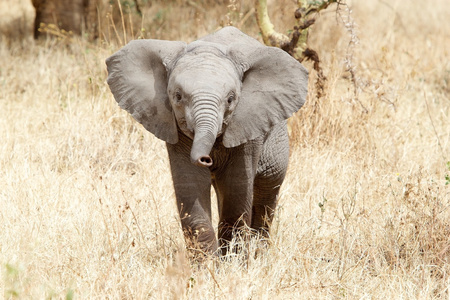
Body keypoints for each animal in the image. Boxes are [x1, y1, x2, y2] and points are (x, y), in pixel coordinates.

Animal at [105, 26, 310, 255]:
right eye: (178, 96)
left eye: (230, 99)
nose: (206, 159)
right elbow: (190, 185)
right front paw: (207, 263)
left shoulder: (248, 126)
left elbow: (236, 189)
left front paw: (233, 261)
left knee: (267, 190)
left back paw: (259, 252)